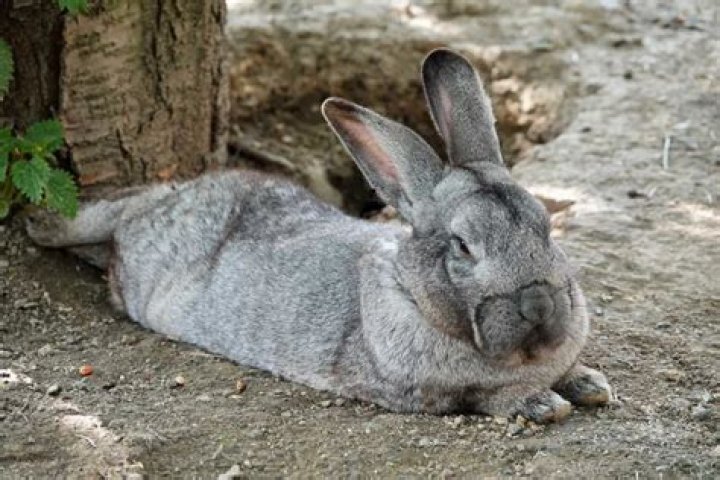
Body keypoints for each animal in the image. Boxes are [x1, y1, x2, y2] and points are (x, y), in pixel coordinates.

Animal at [26, 49, 611, 422]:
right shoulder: (419, 390)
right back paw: (43, 223)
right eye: (463, 246)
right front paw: (543, 405)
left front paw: (591, 385)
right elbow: (482, 399)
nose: (540, 305)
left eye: (545, 224)